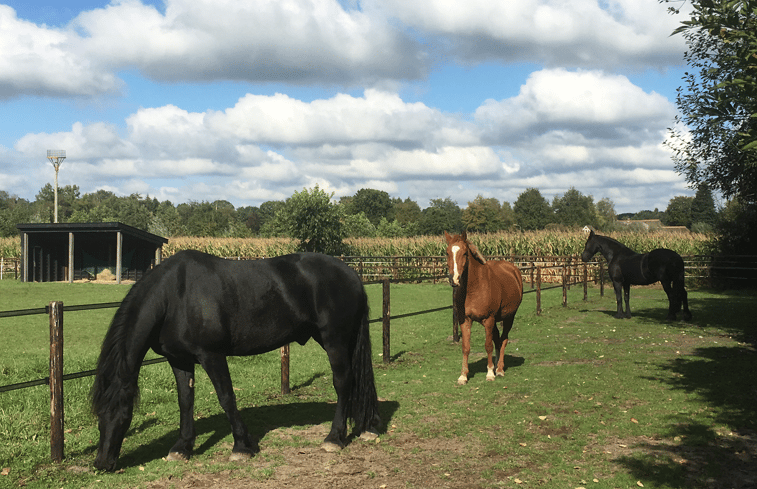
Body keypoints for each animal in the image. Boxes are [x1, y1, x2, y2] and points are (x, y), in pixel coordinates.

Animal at [91, 250, 380, 470]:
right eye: (98, 413)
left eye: (124, 413)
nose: (102, 463)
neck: (175, 296)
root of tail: (352, 274)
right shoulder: (179, 359)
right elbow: (185, 401)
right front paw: (182, 447)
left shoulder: (211, 355)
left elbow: (227, 398)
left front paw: (241, 446)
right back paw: (368, 427)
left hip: (335, 341)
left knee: (343, 382)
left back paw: (334, 438)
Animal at [446, 231, 524, 384]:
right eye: (447, 253)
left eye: (465, 253)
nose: (454, 279)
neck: (475, 288)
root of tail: (513, 269)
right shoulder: (465, 320)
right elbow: (466, 347)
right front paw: (463, 376)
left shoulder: (488, 320)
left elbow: (488, 346)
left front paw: (490, 373)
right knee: (498, 339)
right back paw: (496, 365)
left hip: (509, 317)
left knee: (503, 340)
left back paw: (499, 369)